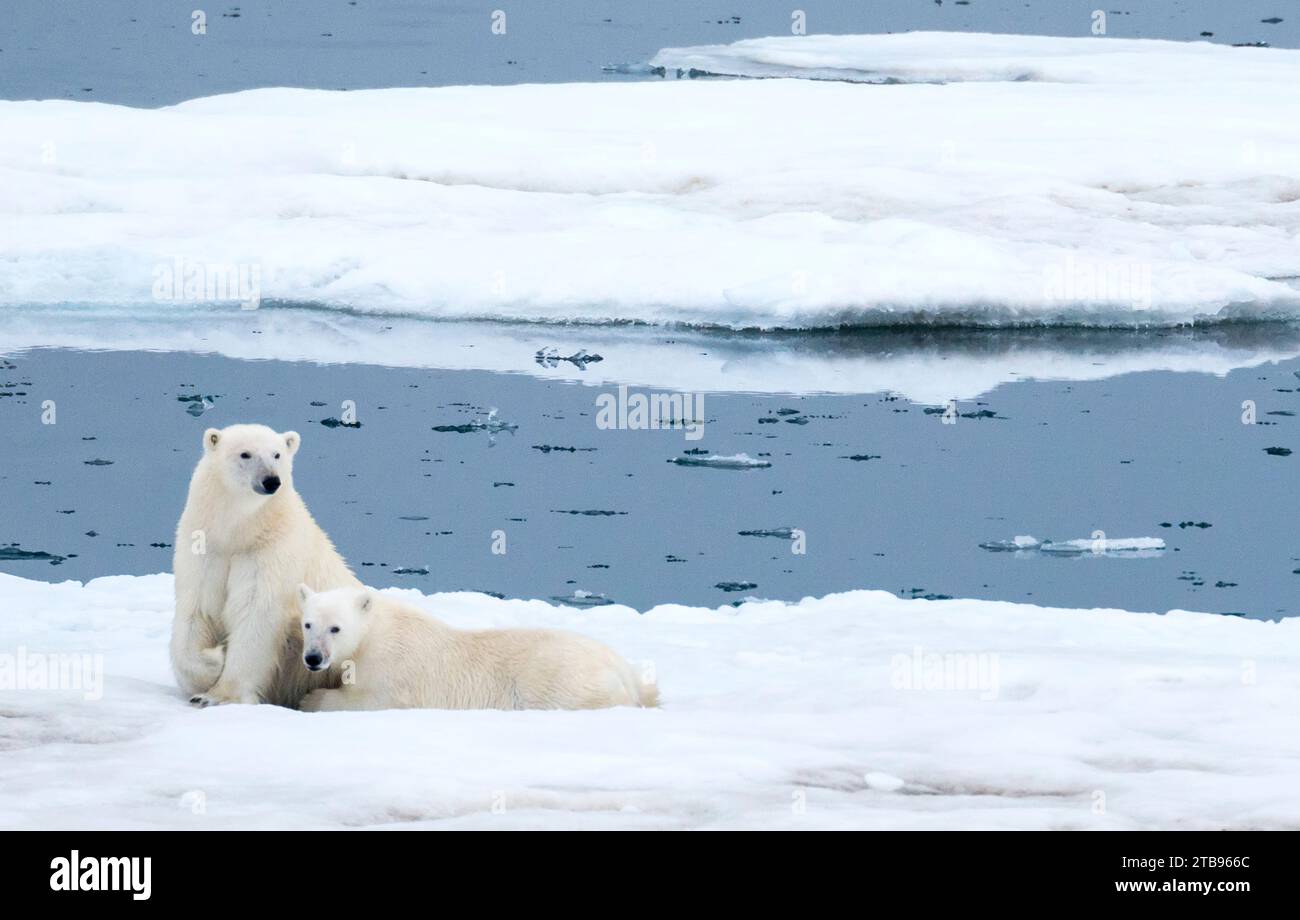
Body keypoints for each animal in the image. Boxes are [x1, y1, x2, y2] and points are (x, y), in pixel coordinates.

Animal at [170, 421, 361, 706]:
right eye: (245, 454)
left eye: (277, 454)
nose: (271, 481)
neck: (241, 532)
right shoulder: (207, 548)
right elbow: (197, 609)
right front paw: (213, 662)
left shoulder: (269, 551)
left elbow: (255, 612)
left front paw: (218, 696)